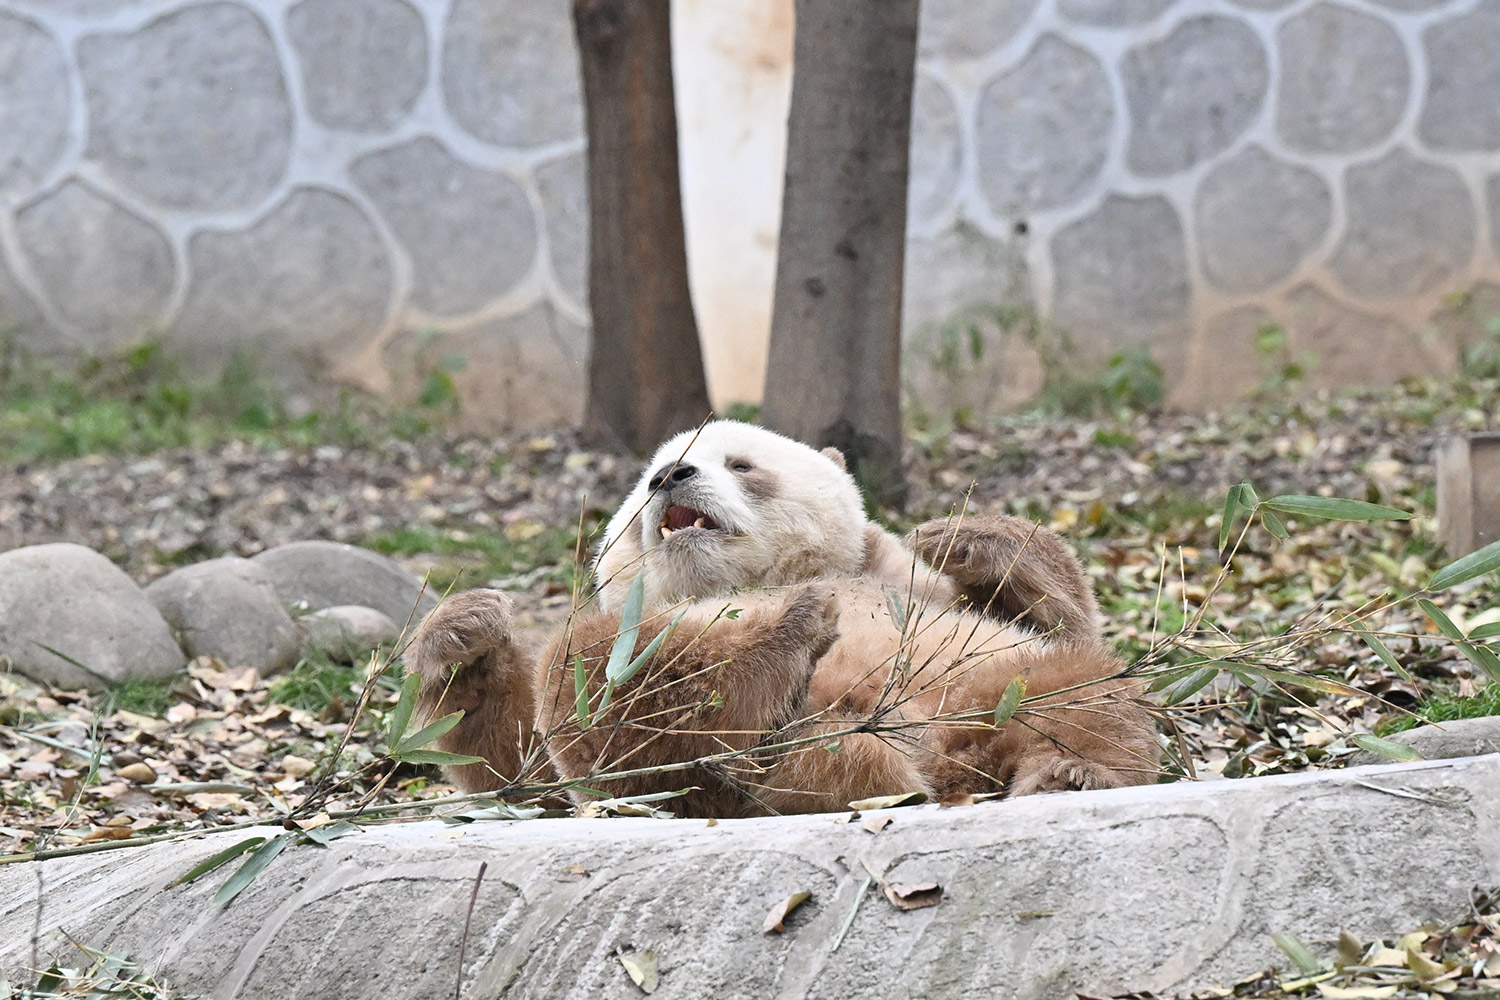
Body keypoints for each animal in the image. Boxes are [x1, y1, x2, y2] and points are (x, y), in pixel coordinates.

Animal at [402, 419, 1158, 815]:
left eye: (739, 463)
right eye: (646, 478)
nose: (669, 478)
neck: (754, 581)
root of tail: (940, 760)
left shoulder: (901, 579)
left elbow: (1056, 612)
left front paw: (970, 538)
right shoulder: (643, 614)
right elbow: (520, 768)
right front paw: (465, 634)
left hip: (991, 684)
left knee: (1084, 692)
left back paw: (1067, 772)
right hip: (718, 752)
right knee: (614, 689)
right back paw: (788, 663)